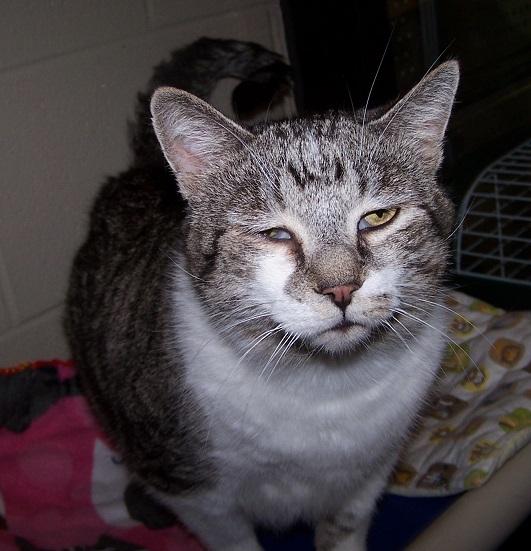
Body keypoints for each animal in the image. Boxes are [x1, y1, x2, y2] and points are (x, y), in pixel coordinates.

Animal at [66, 36, 459, 551]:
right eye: (276, 234)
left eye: (378, 217)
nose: (341, 287)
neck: (328, 388)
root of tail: (145, 167)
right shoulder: (198, 496)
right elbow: (232, 537)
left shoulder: (368, 476)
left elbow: (344, 527)